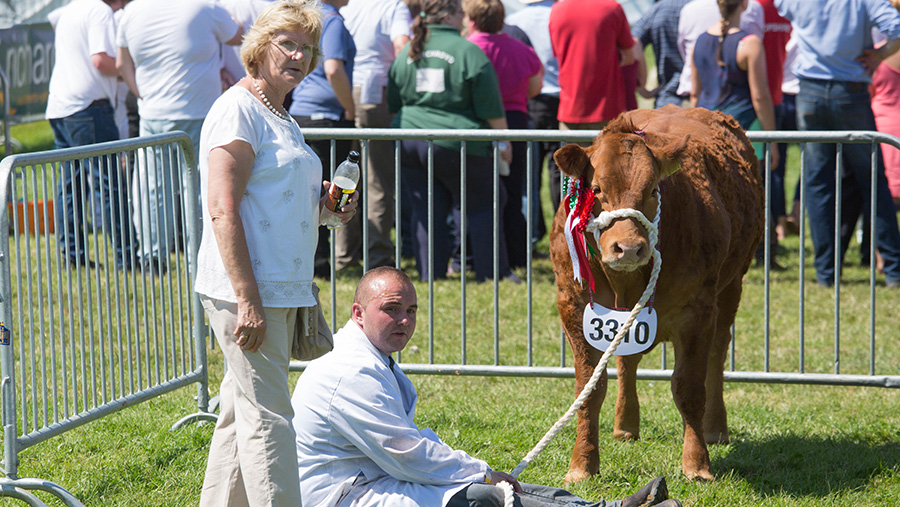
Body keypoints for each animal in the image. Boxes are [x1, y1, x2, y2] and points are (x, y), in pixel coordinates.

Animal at [548, 105, 768, 482]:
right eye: (597, 188)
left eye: (652, 190)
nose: (628, 248)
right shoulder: (574, 308)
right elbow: (588, 390)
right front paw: (582, 465)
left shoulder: (697, 311)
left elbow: (689, 388)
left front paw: (697, 464)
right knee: (627, 361)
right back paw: (625, 425)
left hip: (732, 286)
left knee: (717, 354)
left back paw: (715, 428)